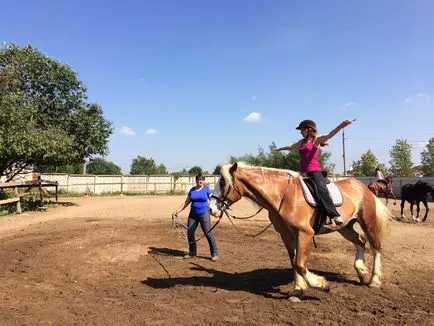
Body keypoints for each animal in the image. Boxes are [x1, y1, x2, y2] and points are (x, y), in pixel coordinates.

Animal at [209, 162, 392, 302]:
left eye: (223, 183)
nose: (211, 209)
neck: (283, 196)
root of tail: (363, 187)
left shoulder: (305, 233)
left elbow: (300, 263)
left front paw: (321, 284)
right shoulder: (287, 235)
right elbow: (294, 262)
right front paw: (298, 291)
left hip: (367, 222)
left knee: (375, 246)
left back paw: (374, 280)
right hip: (345, 227)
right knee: (360, 241)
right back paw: (362, 273)